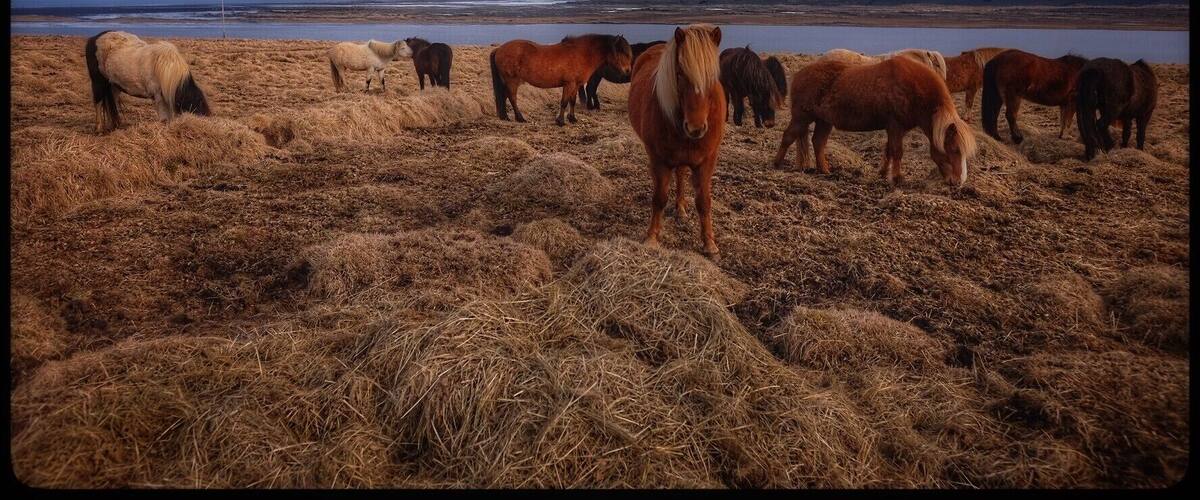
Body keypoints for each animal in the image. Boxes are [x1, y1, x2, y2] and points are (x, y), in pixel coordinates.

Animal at [490, 34, 632, 125]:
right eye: (621, 51)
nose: (627, 71)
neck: (582, 54)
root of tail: (499, 49)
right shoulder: (569, 84)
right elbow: (564, 102)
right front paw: (560, 121)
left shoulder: (575, 85)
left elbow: (572, 101)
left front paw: (572, 118)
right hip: (512, 81)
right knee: (512, 98)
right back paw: (520, 118)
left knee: (504, 97)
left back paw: (505, 117)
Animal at [628, 24, 725, 260]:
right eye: (679, 73)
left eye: (713, 76)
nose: (696, 128)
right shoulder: (659, 160)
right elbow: (659, 197)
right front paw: (652, 238)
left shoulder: (706, 161)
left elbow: (704, 201)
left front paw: (709, 244)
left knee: (681, 175)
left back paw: (681, 208)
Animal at [772, 56, 977, 187]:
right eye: (954, 149)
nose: (958, 183)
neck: (913, 89)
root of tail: (799, 75)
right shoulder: (895, 126)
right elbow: (897, 152)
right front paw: (897, 178)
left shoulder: (897, 129)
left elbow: (888, 150)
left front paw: (883, 173)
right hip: (802, 118)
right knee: (788, 136)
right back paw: (776, 164)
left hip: (824, 121)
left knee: (818, 142)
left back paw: (825, 171)